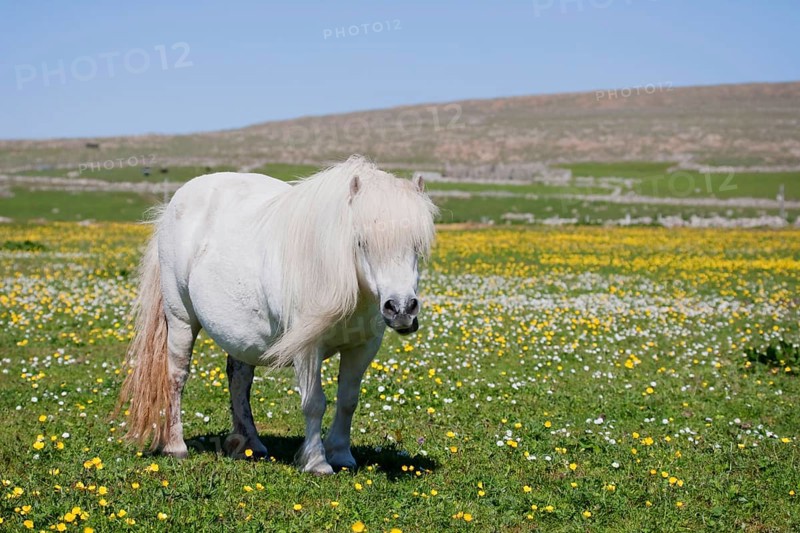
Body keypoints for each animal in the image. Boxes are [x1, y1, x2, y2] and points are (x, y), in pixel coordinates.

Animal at [117, 155, 438, 474]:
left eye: (417, 245)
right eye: (361, 242)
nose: (401, 309)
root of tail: (174, 203)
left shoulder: (363, 347)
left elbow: (348, 400)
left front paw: (342, 455)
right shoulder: (307, 348)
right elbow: (314, 403)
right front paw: (317, 462)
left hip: (240, 333)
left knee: (239, 378)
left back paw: (249, 444)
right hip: (181, 320)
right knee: (177, 376)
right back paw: (176, 446)